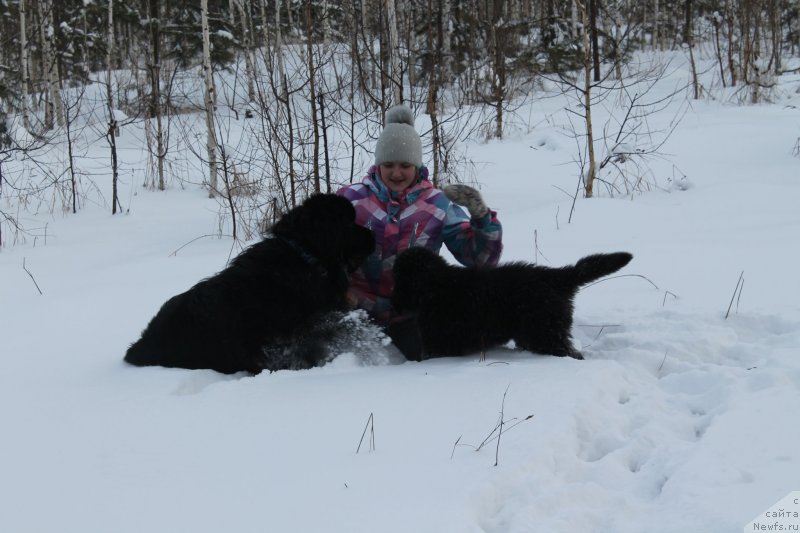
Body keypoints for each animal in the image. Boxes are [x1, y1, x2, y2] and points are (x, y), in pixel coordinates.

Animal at [390, 247, 636, 360]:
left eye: (399, 277)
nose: (393, 303)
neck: (436, 286)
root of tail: (557, 277)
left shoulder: (438, 342)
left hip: (545, 332)